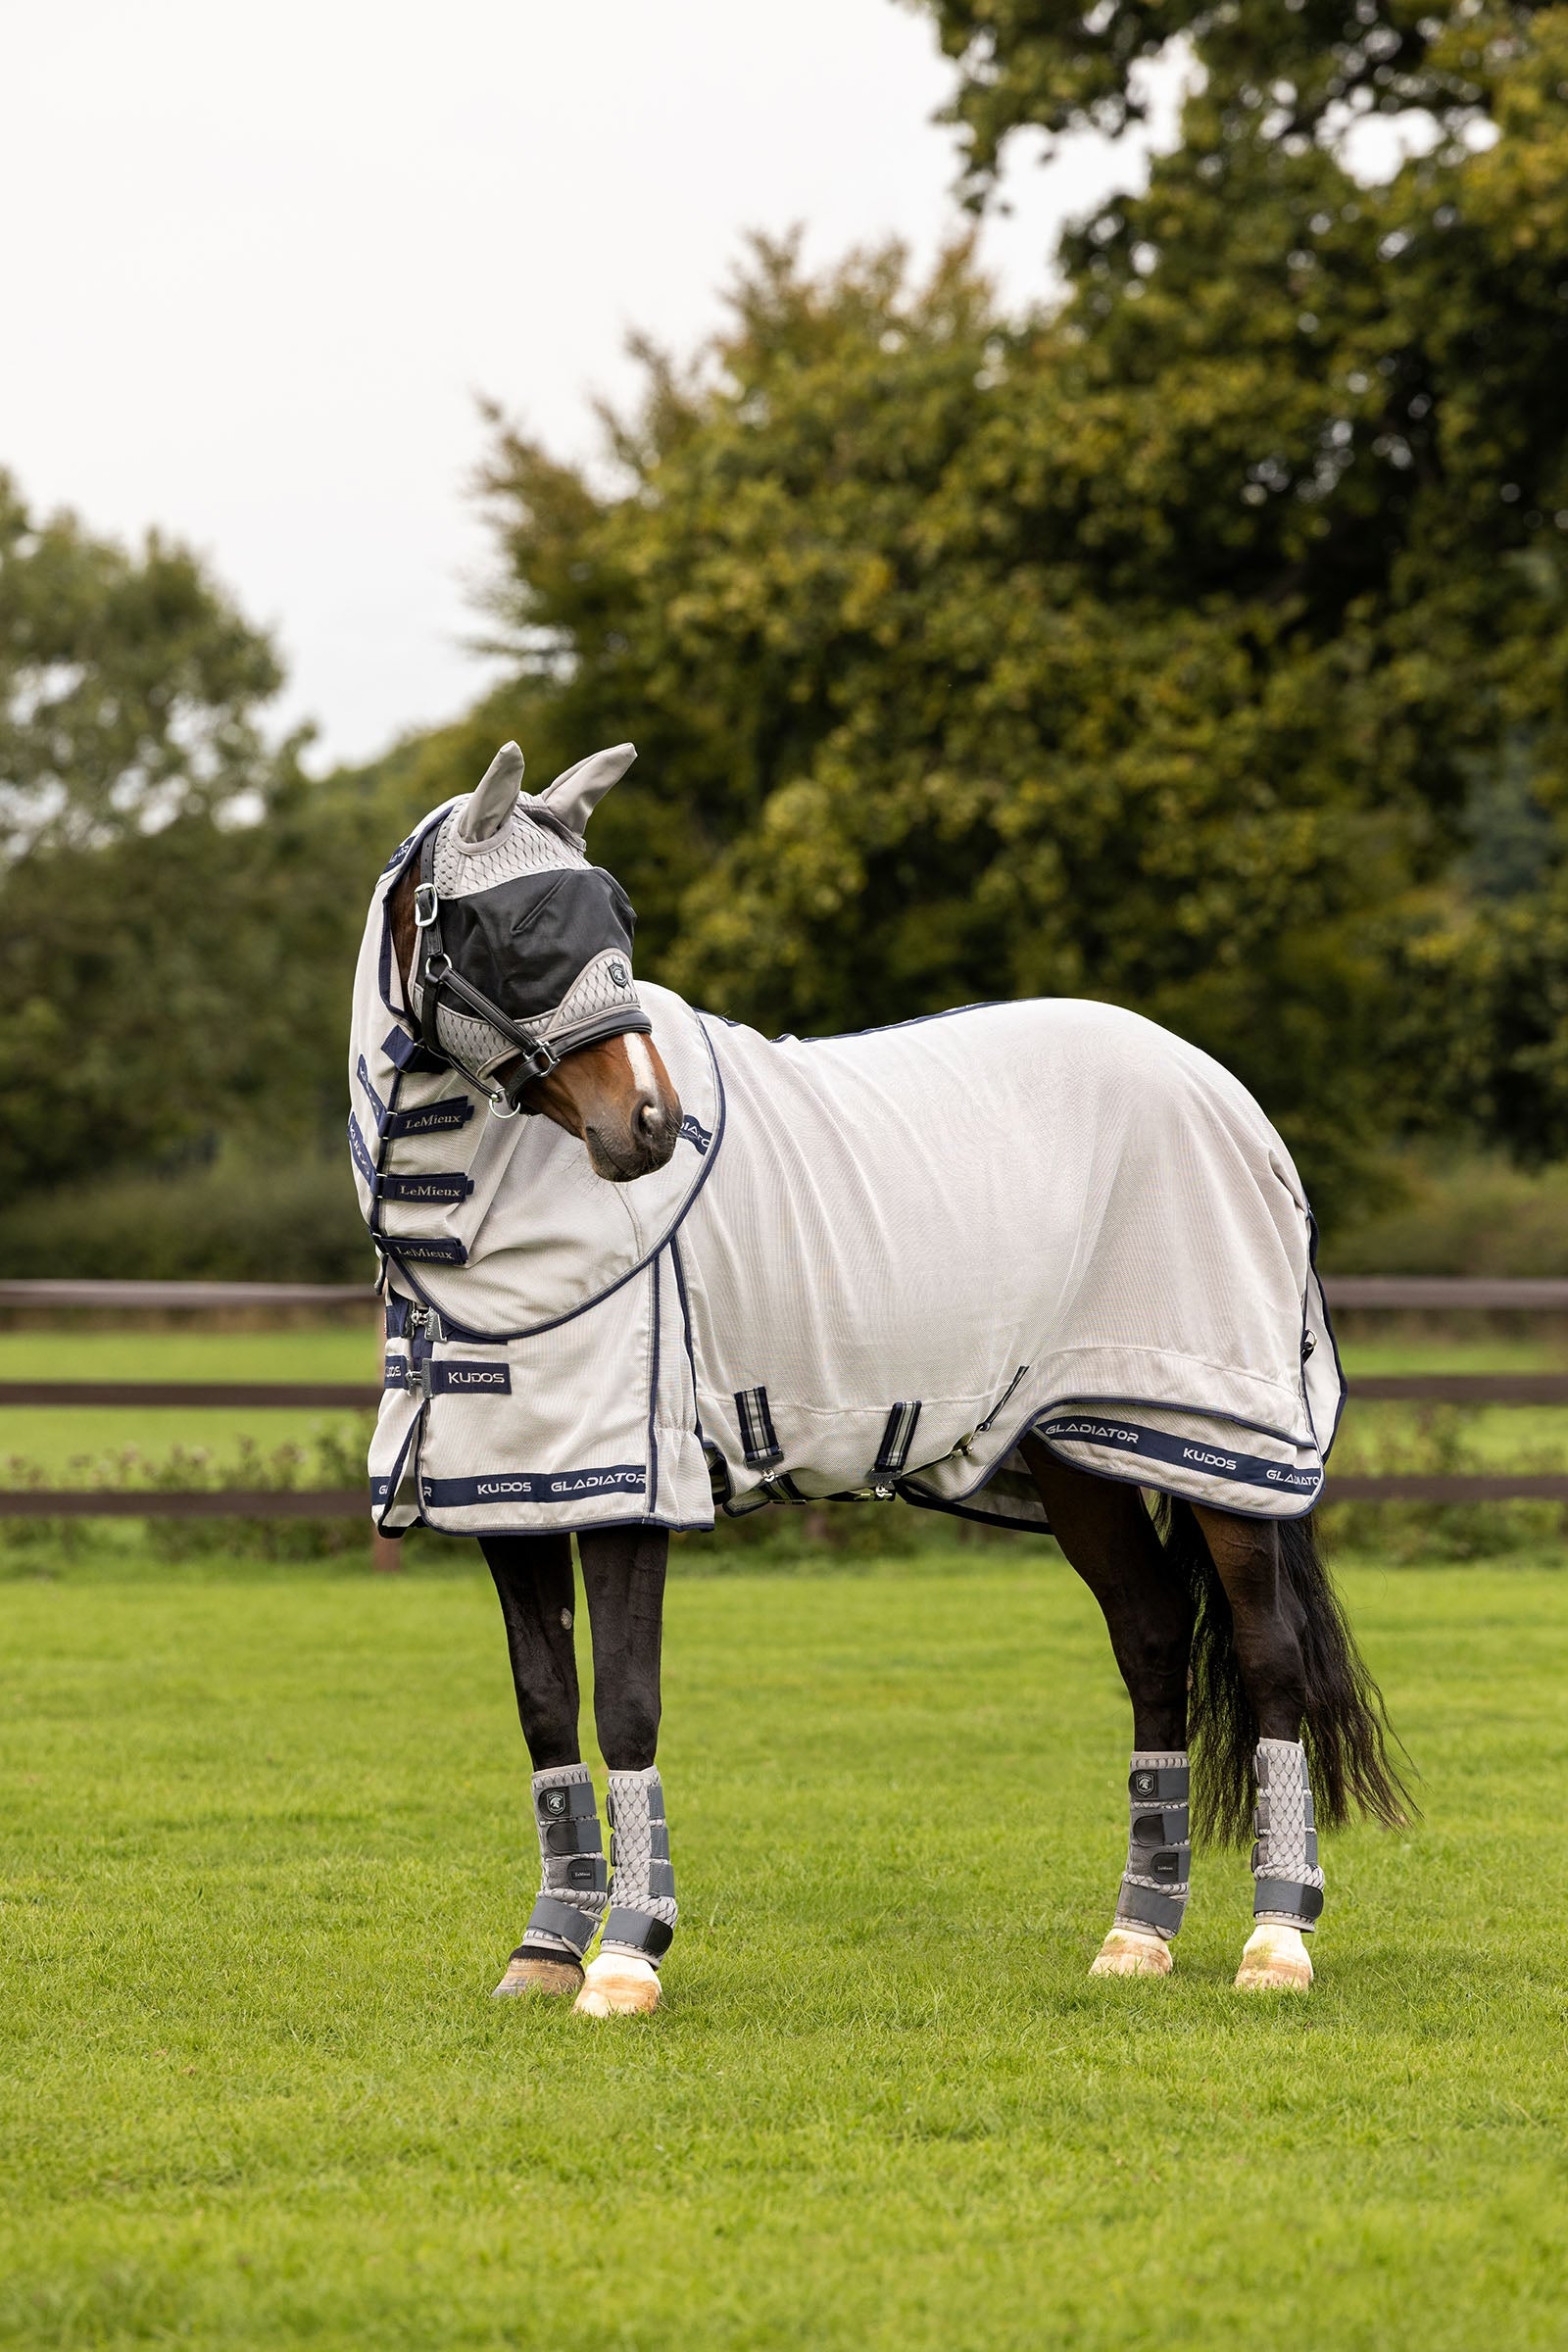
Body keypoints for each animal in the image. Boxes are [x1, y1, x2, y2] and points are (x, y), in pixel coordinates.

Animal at [353, 738, 1407, 2019]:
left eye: (616, 918)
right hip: (1081, 1455)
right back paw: (1135, 1937)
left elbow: (627, 1703)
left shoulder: (631, 1493)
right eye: (513, 930)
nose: (646, 1125)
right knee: (1155, 1646)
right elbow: (545, 1705)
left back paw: (1274, 1945)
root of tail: (1229, 1100)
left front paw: (625, 1960)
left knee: (1266, 1662)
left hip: (1220, 1449)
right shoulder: (514, 1494)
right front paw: (545, 1952)